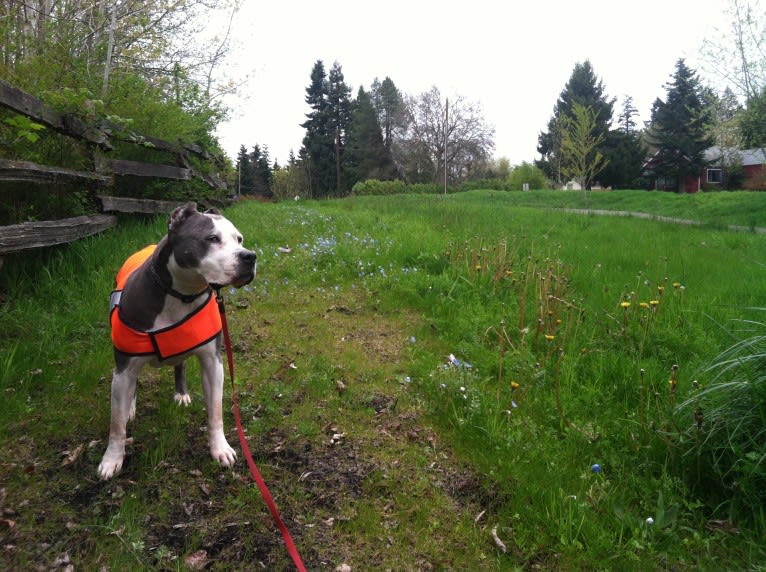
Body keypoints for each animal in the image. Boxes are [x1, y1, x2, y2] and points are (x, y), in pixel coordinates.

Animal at [97, 203, 255, 480]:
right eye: (212, 238)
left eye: (239, 239)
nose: (250, 256)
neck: (181, 294)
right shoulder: (124, 367)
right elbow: (116, 424)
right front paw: (112, 459)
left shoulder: (213, 363)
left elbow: (215, 412)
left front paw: (220, 448)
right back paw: (130, 407)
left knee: (179, 365)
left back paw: (181, 394)